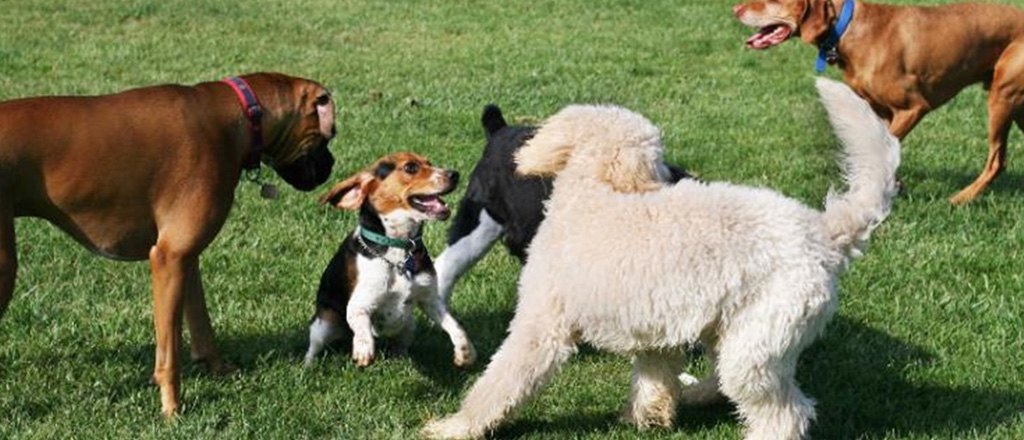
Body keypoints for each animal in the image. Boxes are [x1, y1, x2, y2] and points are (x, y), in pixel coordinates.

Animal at [0, 72, 337, 415]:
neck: (240, 112)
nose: (332, 165)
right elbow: (169, 349)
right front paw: (172, 406)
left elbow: (201, 323)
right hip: (4, 268)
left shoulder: (185, 259)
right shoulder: (168, 259)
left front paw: (217, 369)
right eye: (329, 136)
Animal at [419, 79, 901, 440]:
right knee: (729, 383)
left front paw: (455, 427)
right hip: (734, 332)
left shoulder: (541, 328)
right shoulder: (656, 329)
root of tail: (822, 232)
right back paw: (695, 395)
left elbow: (498, 383)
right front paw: (646, 418)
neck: (594, 191)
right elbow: (653, 378)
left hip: (755, 347)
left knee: (787, 413)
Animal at [733, 0, 1024, 204]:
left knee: (997, 161)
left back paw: (961, 198)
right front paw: (894, 185)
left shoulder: (913, 108)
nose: (735, 9)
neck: (848, 28)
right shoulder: (881, 112)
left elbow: (882, 146)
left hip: (1001, 97)